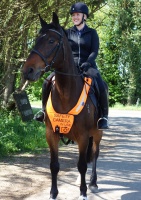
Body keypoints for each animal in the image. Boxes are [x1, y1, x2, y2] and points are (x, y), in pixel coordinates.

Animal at [22, 12, 103, 200]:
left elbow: (82, 165)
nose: (27, 71)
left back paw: (93, 183)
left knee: (95, 155)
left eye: (51, 41)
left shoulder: (83, 136)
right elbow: (54, 165)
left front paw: (83, 193)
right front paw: (53, 193)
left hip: (97, 133)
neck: (67, 93)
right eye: (37, 39)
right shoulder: (51, 134)